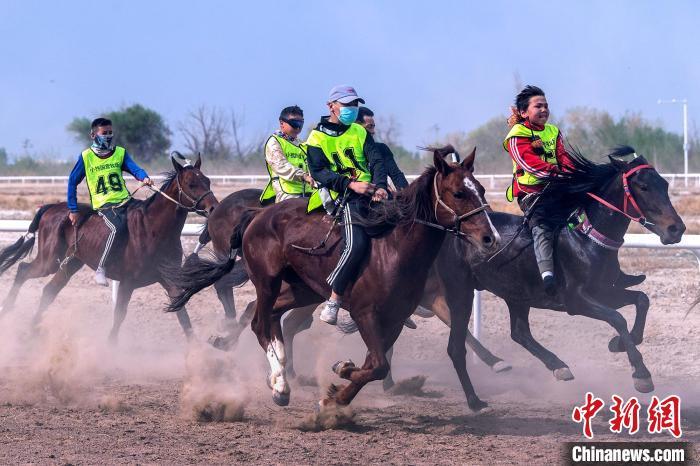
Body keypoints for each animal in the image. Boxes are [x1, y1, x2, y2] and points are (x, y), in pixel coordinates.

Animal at [0, 155, 217, 340]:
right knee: (23, 270)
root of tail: (50, 207)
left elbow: (183, 315)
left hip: (71, 263)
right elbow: (119, 316)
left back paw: (31, 329)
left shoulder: (168, 279)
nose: (214, 207)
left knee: (48, 291)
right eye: (191, 184)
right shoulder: (127, 282)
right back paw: (8, 310)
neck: (154, 229)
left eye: (207, 181)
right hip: (49, 260)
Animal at [167, 147, 500, 412]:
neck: (393, 248)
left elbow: (374, 364)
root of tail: (255, 215)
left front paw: (339, 386)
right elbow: (378, 365)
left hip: (303, 290)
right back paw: (279, 384)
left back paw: (278, 373)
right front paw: (339, 380)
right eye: (458, 193)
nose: (490, 238)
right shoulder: (366, 313)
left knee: (273, 319)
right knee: (259, 322)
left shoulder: (395, 317)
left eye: (482, 190)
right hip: (268, 281)